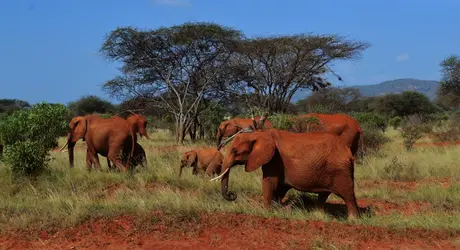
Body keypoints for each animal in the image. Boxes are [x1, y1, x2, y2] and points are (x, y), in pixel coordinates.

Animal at [214, 123, 362, 219]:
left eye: (235, 151)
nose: (232, 195)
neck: (259, 134)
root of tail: (348, 151)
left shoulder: (274, 158)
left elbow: (269, 182)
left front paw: (265, 212)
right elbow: (279, 186)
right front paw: (277, 209)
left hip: (340, 171)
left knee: (348, 195)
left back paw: (352, 220)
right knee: (324, 195)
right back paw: (318, 215)